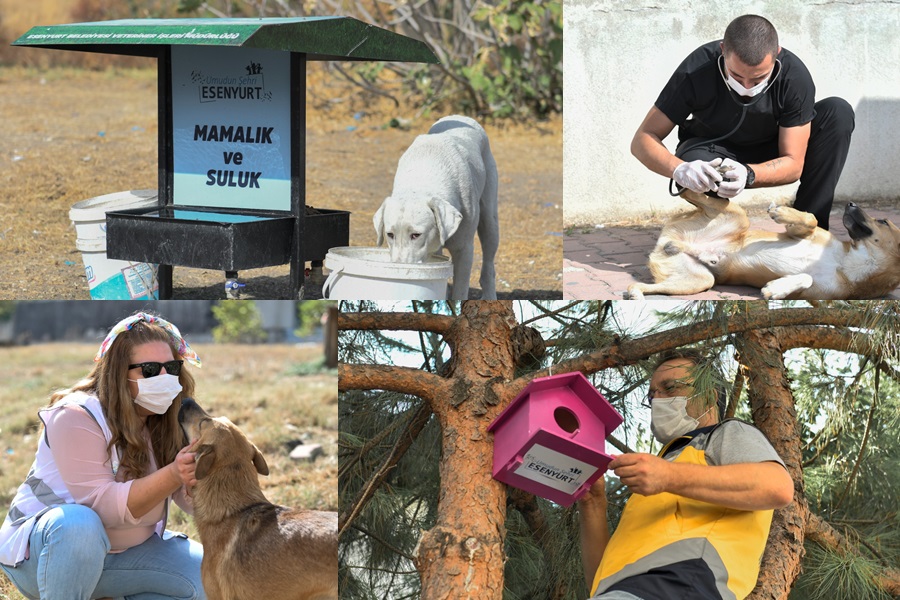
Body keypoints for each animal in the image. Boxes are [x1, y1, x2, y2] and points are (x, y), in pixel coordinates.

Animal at [372, 113, 500, 300]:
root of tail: (462, 116)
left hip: (490, 220)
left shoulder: (464, 251)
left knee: (489, 262)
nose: (399, 269)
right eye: (390, 235)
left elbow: (460, 291)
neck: (420, 182)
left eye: (416, 235)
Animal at [624, 190, 900, 300]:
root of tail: (672, 242)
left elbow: (806, 278)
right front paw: (782, 212)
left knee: (642, 286)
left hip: (697, 281)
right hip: (739, 216)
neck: (849, 263)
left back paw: (636, 293)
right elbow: (810, 219)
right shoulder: (802, 234)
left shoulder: (812, 294)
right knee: (693, 192)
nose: (851, 203)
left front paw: (777, 288)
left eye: (883, 220)